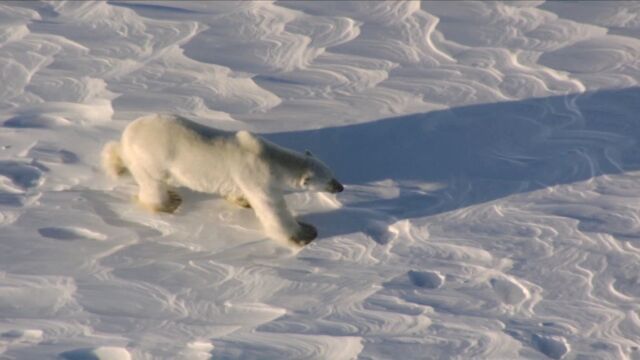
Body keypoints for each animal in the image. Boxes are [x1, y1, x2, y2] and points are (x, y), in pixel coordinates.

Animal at [101, 114, 340, 246]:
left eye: (333, 173)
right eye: (329, 180)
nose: (340, 187)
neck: (269, 159)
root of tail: (126, 136)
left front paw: (241, 201)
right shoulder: (256, 176)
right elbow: (273, 209)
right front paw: (304, 234)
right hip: (151, 159)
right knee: (152, 183)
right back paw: (168, 202)